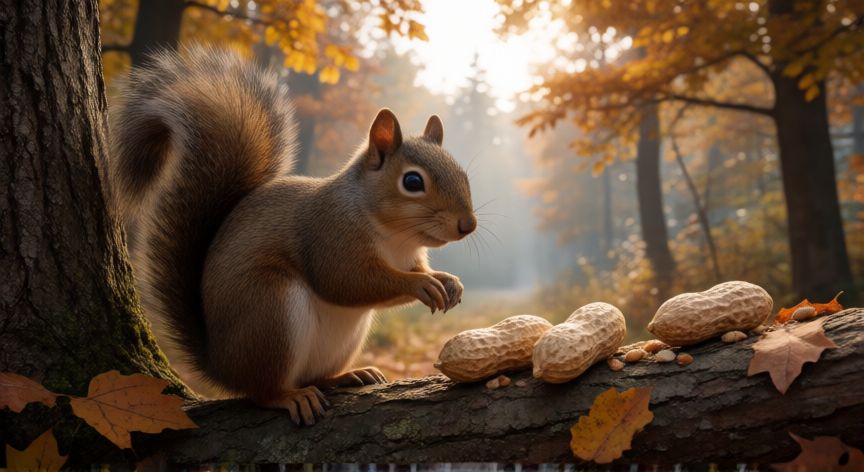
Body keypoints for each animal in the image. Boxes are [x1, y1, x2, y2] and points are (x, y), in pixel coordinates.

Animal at [108, 46, 476, 425]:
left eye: (463, 174)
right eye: (413, 182)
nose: (468, 224)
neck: (395, 237)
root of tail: (220, 366)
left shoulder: (409, 255)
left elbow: (413, 271)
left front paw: (447, 280)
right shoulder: (330, 235)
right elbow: (346, 281)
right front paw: (420, 285)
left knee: (315, 377)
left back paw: (348, 376)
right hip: (270, 311)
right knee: (261, 391)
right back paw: (288, 397)